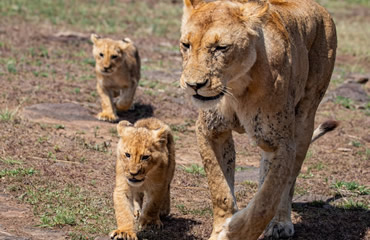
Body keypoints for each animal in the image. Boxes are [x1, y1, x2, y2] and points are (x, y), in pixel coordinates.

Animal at [181, 0, 336, 240]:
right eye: (186, 45)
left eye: (221, 47)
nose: (193, 85)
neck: (236, 87)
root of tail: (320, 8)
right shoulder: (210, 131)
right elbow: (219, 189)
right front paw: (221, 227)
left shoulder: (282, 144)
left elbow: (266, 202)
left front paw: (234, 231)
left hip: (304, 120)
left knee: (287, 182)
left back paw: (281, 222)